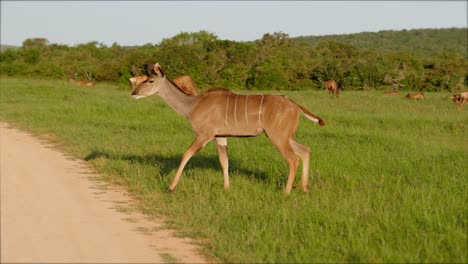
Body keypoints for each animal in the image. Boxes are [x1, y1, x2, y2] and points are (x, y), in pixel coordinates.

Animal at [130, 62, 324, 193]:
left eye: (150, 80)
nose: (134, 93)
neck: (192, 105)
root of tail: (294, 105)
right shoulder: (220, 137)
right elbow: (224, 162)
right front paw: (227, 188)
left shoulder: (204, 134)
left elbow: (186, 154)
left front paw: (171, 187)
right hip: (285, 136)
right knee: (305, 150)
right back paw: (305, 188)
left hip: (278, 137)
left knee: (293, 159)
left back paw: (286, 192)